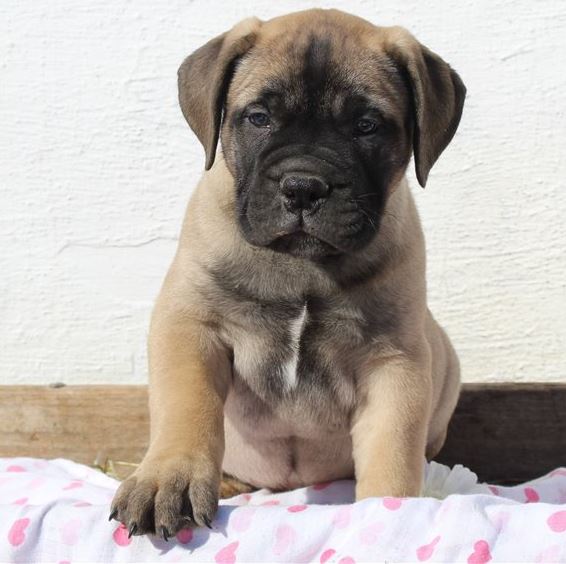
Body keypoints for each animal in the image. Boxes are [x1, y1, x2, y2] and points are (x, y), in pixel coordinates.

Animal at [110, 7, 466, 536]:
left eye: (366, 126)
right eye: (259, 118)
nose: (303, 186)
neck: (302, 266)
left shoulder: (394, 360)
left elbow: (392, 451)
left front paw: (391, 514)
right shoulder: (191, 325)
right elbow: (187, 406)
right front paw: (166, 479)